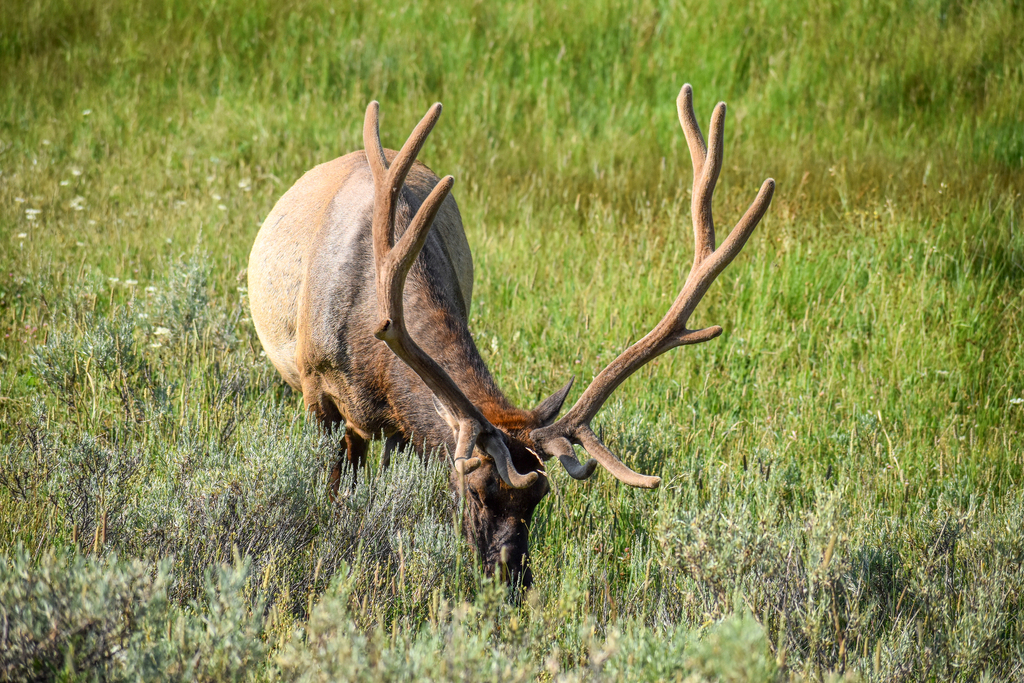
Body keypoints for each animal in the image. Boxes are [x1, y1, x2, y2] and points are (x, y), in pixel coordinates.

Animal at [249, 85, 774, 589]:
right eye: (476, 490)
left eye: (539, 498)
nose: (512, 576)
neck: (369, 349)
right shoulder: (316, 388)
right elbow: (331, 483)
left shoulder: (402, 428)